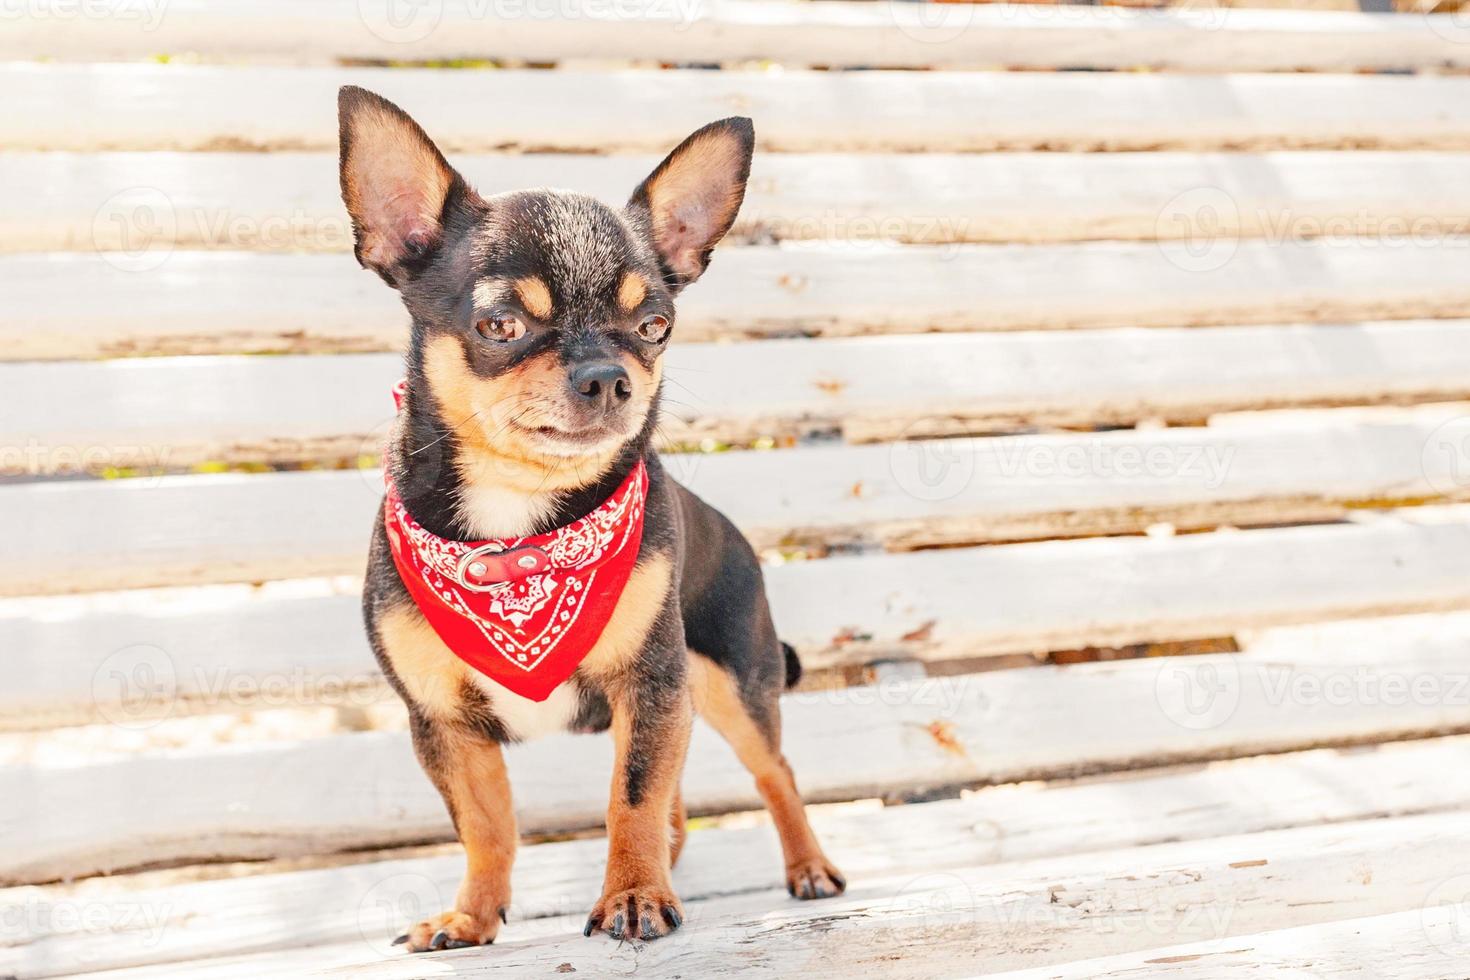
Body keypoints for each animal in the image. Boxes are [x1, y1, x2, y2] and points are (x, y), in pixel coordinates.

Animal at [342, 88, 846, 952]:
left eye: (654, 328)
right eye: (499, 326)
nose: (610, 376)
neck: (519, 530)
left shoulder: (651, 682)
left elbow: (632, 796)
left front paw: (634, 896)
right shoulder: (443, 723)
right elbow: (487, 826)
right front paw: (472, 916)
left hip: (728, 682)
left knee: (771, 771)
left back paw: (805, 865)